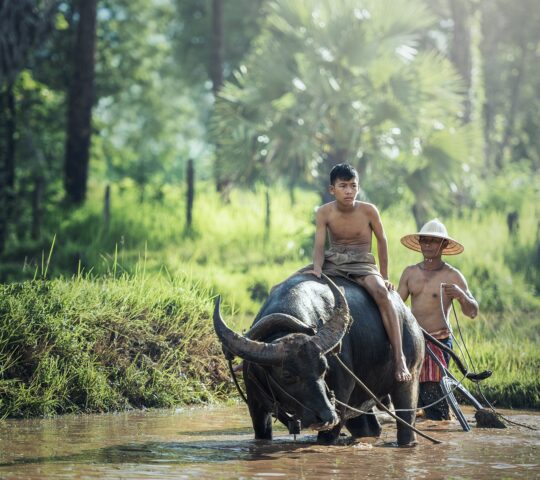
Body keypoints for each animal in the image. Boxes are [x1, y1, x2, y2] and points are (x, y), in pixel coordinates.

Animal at [213, 274, 424, 446]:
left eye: (324, 368)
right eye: (287, 375)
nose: (326, 416)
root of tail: (410, 317)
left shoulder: (340, 400)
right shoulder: (256, 407)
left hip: (410, 379)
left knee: (406, 421)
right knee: (369, 428)